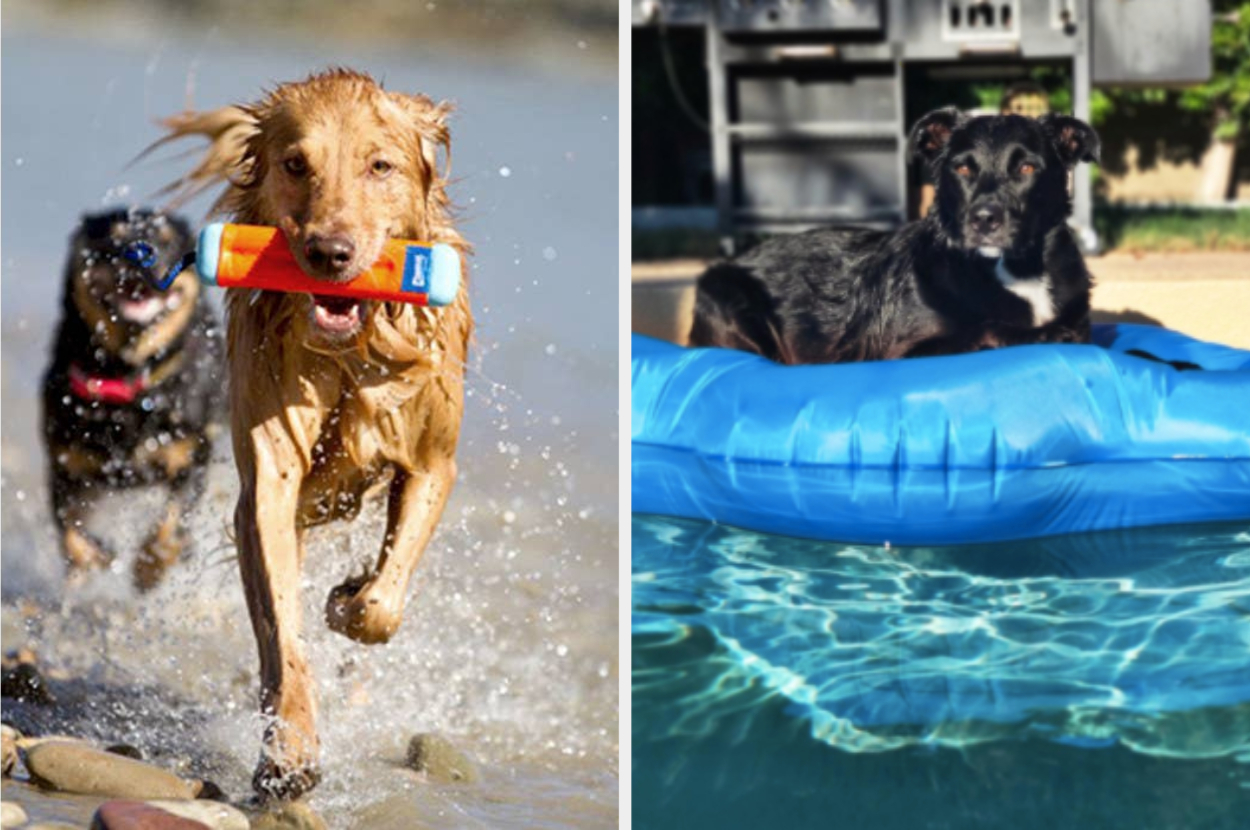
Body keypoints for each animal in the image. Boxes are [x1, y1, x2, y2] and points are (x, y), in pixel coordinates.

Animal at [41, 206, 226, 590]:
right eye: (114, 237)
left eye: (168, 242)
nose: (143, 253)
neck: (128, 378)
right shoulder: (66, 467)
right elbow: (70, 531)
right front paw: (97, 557)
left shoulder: (190, 457)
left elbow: (171, 523)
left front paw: (148, 567)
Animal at [155, 69, 470, 800]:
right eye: (297, 164)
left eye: (380, 166)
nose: (330, 252)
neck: (352, 354)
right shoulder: (268, 479)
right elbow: (283, 630)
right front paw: (289, 751)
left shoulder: (432, 462)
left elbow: (382, 603)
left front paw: (348, 598)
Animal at [690, 107, 1100, 362]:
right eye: (963, 169)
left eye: (1027, 168)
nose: (984, 220)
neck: (1016, 269)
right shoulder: (903, 352)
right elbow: (986, 330)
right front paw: (1043, 335)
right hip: (724, 294)